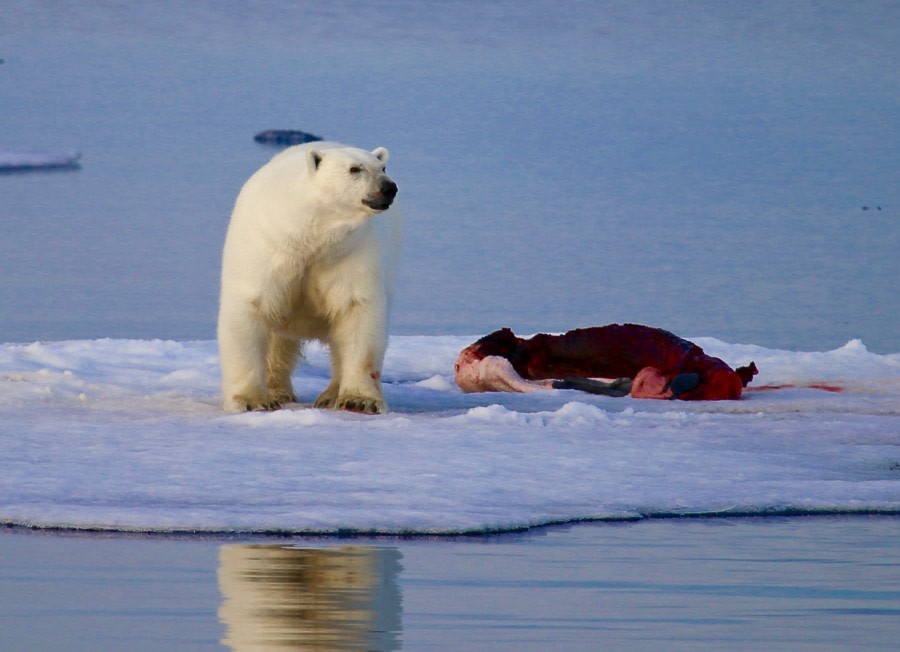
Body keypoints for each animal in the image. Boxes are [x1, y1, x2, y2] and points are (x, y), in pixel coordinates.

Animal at [216, 145, 400, 416]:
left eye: (383, 167)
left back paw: (328, 396)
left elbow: (357, 313)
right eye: (354, 169)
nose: (388, 187)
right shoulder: (269, 248)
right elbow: (250, 309)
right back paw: (277, 392)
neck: (311, 236)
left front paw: (359, 400)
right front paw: (252, 401)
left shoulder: (351, 253)